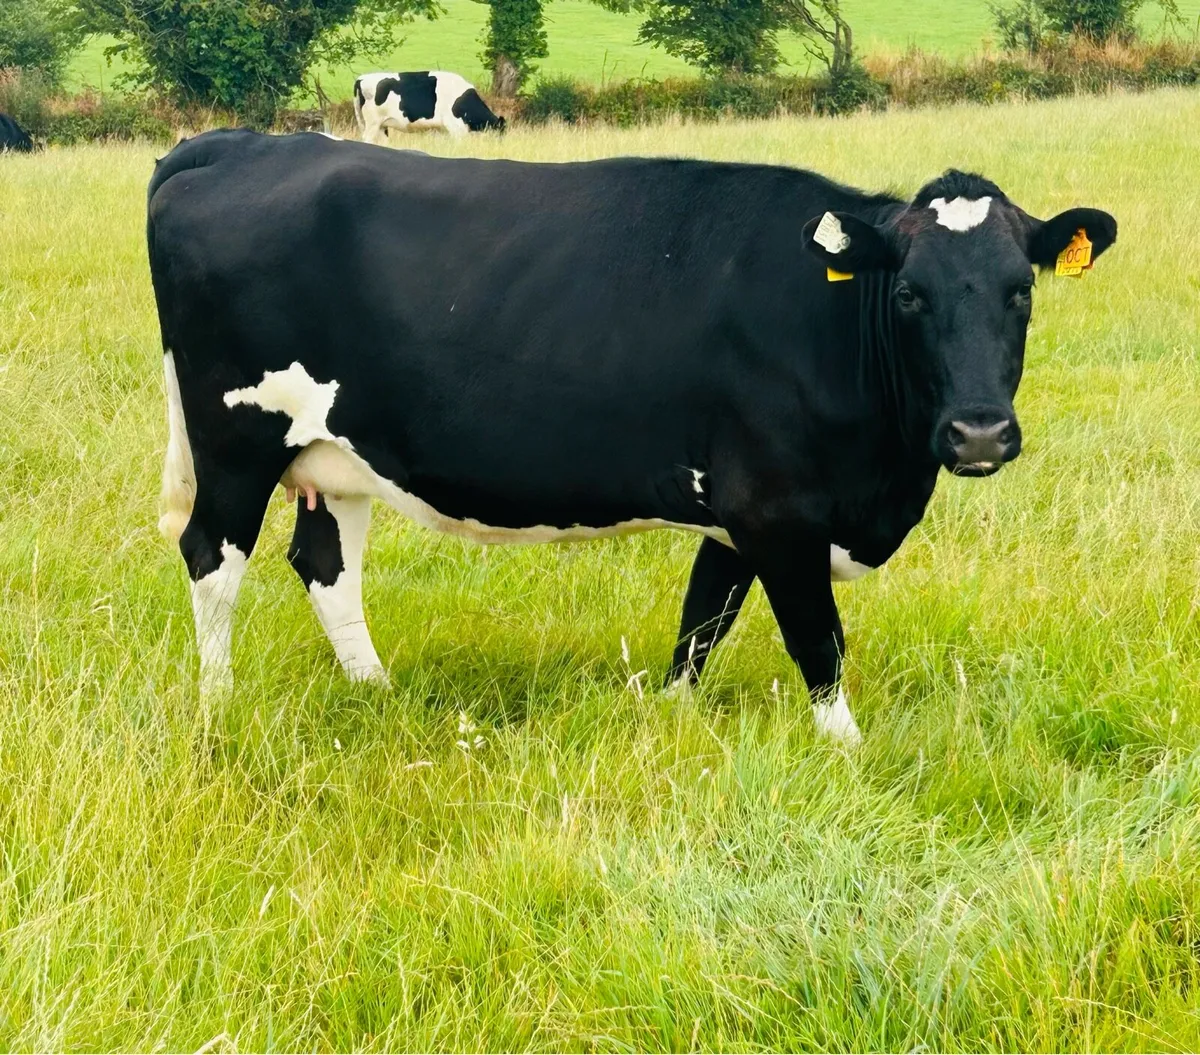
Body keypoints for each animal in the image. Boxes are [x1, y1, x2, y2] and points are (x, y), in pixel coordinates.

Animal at [147, 129, 1116, 742]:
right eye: (910, 294)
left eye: (1020, 291)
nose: (980, 432)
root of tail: (239, 143)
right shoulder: (777, 507)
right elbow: (818, 641)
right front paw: (848, 750)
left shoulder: (736, 511)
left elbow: (701, 623)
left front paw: (669, 720)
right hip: (237, 440)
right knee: (212, 557)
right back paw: (218, 709)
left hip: (336, 455)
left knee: (326, 565)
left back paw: (378, 695)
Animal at [353, 71, 505, 142]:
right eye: (501, 132)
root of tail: (361, 78)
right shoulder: (456, 127)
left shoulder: (442, 129)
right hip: (372, 122)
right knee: (367, 139)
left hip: (382, 125)